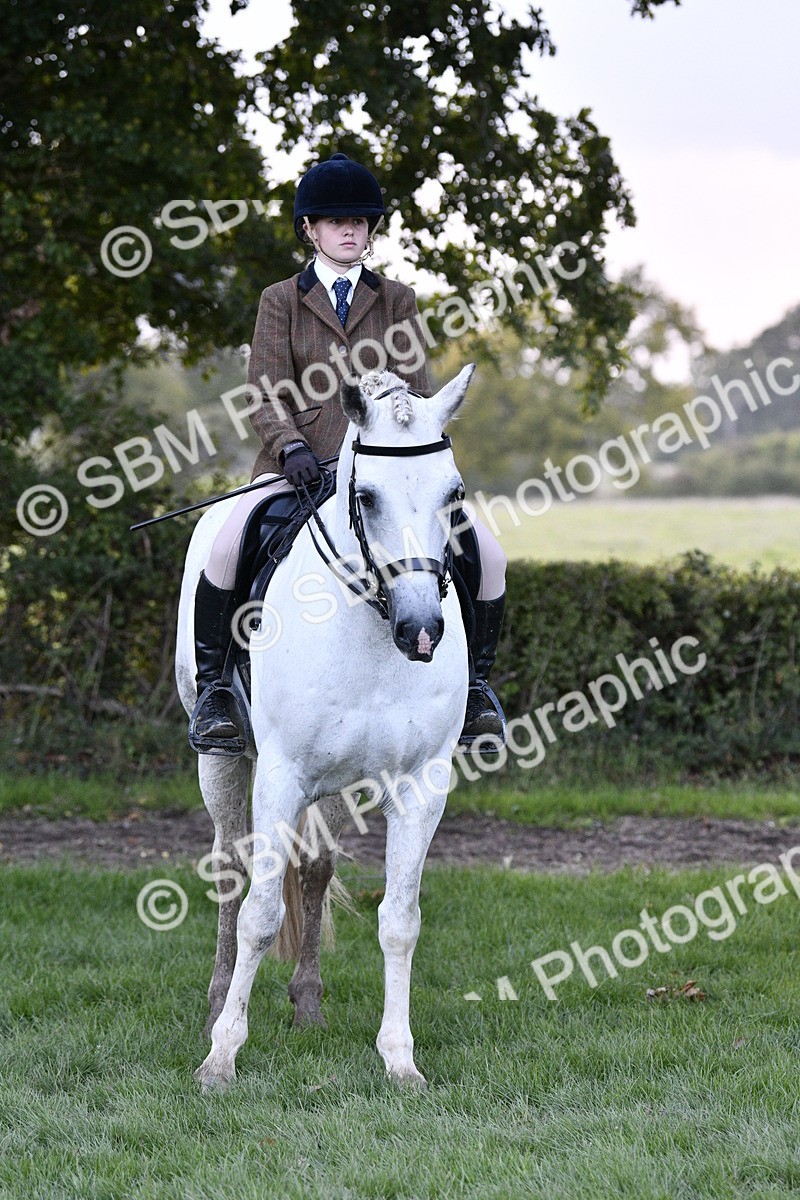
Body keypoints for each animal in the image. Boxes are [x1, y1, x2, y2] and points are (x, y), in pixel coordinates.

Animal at [174, 363, 475, 1090]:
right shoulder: (281, 776)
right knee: (231, 868)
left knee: (313, 870)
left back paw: (307, 1007)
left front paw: (400, 1060)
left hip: (338, 786)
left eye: (453, 494)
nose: (421, 631)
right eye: (364, 496)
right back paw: (216, 1003)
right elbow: (259, 915)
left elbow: (399, 920)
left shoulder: (420, 786)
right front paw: (222, 1055)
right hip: (223, 762)